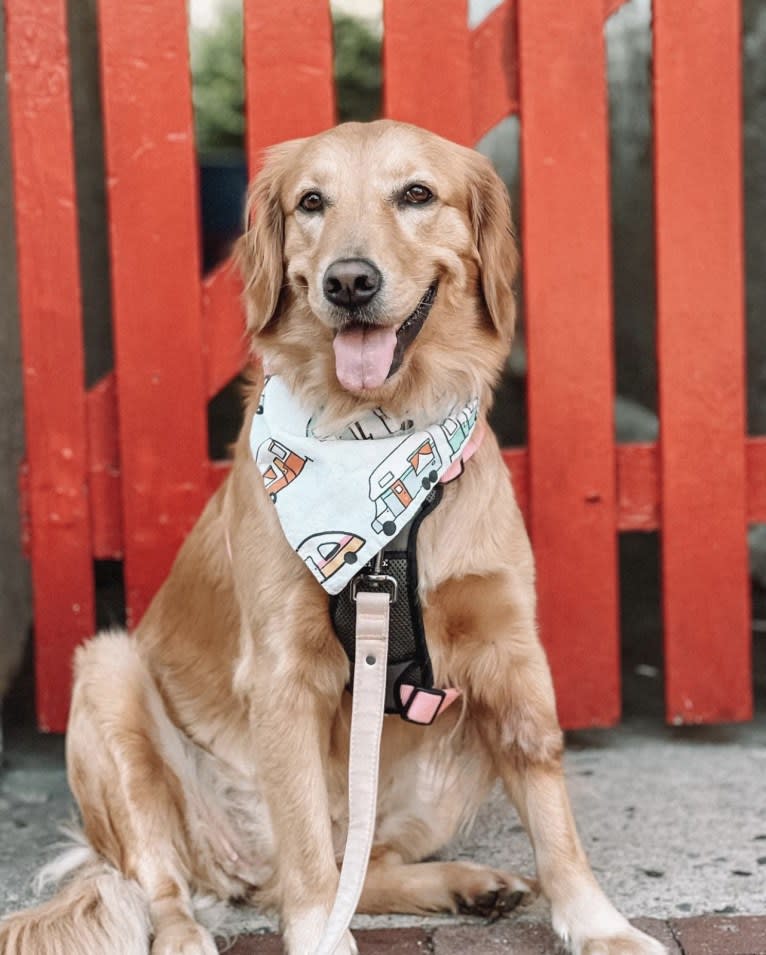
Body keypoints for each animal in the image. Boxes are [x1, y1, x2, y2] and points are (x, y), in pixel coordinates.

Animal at [0, 121, 664, 955]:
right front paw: (320, 935)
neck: (377, 438)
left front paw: (600, 924)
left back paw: (465, 882)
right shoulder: (283, 672)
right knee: (172, 880)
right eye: (311, 202)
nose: (349, 281)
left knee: (357, 863)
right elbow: (310, 851)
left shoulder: (511, 654)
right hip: (109, 676)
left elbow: (552, 811)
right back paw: (185, 933)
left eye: (416, 194)